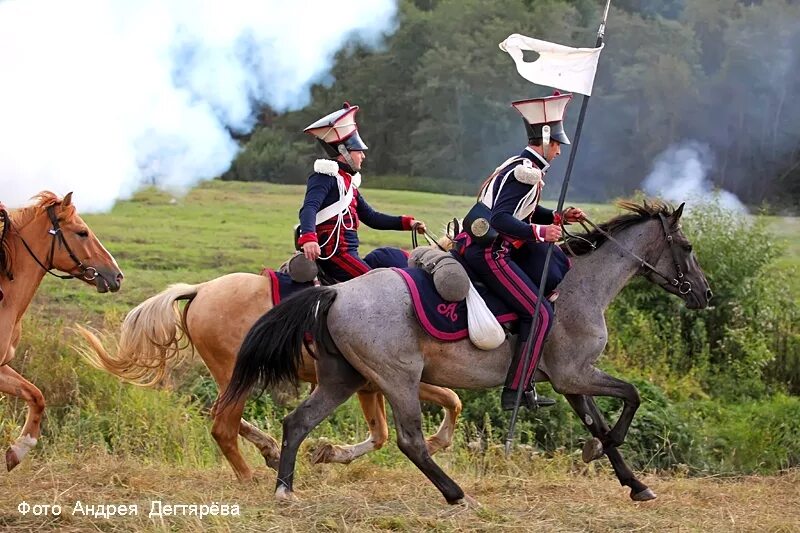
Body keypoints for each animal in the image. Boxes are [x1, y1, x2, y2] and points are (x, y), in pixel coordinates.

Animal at [76, 268, 462, 480]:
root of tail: (201, 290)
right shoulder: (394, 379)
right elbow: (448, 401)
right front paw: (435, 441)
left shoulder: (373, 386)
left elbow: (386, 431)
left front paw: (329, 453)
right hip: (239, 375)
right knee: (223, 425)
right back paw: (250, 475)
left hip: (230, 378)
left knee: (222, 416)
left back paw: (269, 450)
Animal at [222, 200, 716, 502]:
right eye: (687, 246)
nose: (705, 294)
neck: (580, 285)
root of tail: (337, 292)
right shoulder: (575, 374)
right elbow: (631, 397)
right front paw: (599, 450)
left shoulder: (571, 381)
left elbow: (600, 420)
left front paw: (633, 483)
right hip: (398, 379)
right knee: (410, 441)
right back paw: (458, 496)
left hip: (343, 378)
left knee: (297, 423)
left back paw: (285, 490)